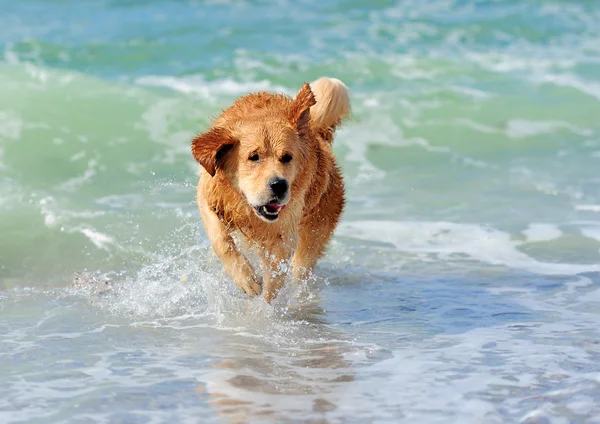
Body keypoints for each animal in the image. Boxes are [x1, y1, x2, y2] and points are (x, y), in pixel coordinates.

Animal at [192, 76, 352, 302]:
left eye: (287, 157)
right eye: (253, 156)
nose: (279, 185)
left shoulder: (284, 234)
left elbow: (274, 279)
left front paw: (263, 305)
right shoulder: (208, 194)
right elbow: (221, 239)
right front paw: (246, 279)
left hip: (315, 233)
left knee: (299, 268)